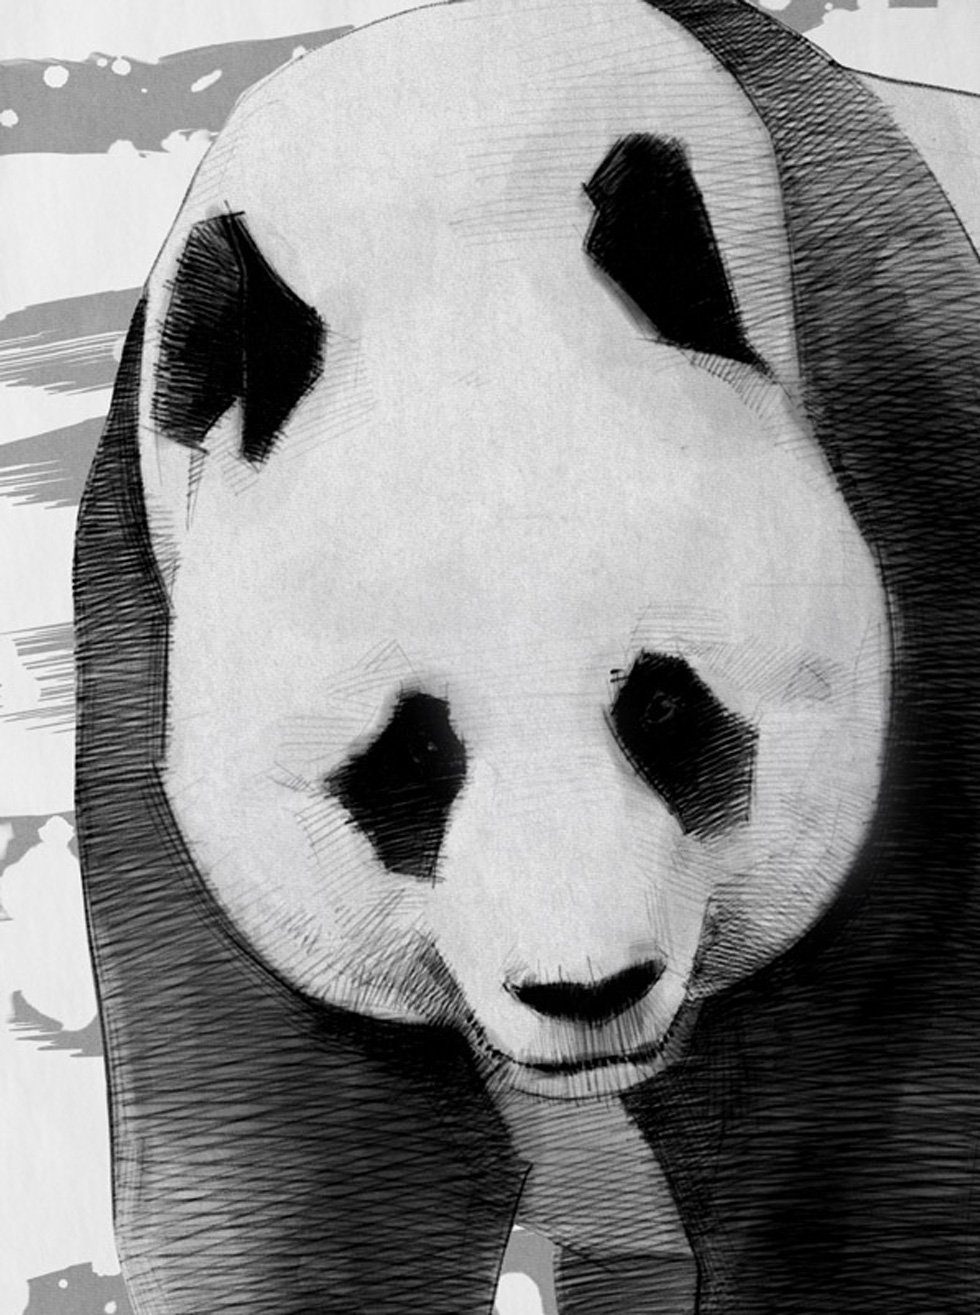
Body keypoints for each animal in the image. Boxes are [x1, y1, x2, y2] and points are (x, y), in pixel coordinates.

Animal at [74, 2, 980, 1313]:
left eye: (664, 708)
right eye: (408, 755)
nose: (586, 989)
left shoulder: (924, 523)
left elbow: (879, 1174)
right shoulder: (145, 645)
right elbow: (294, 1190)